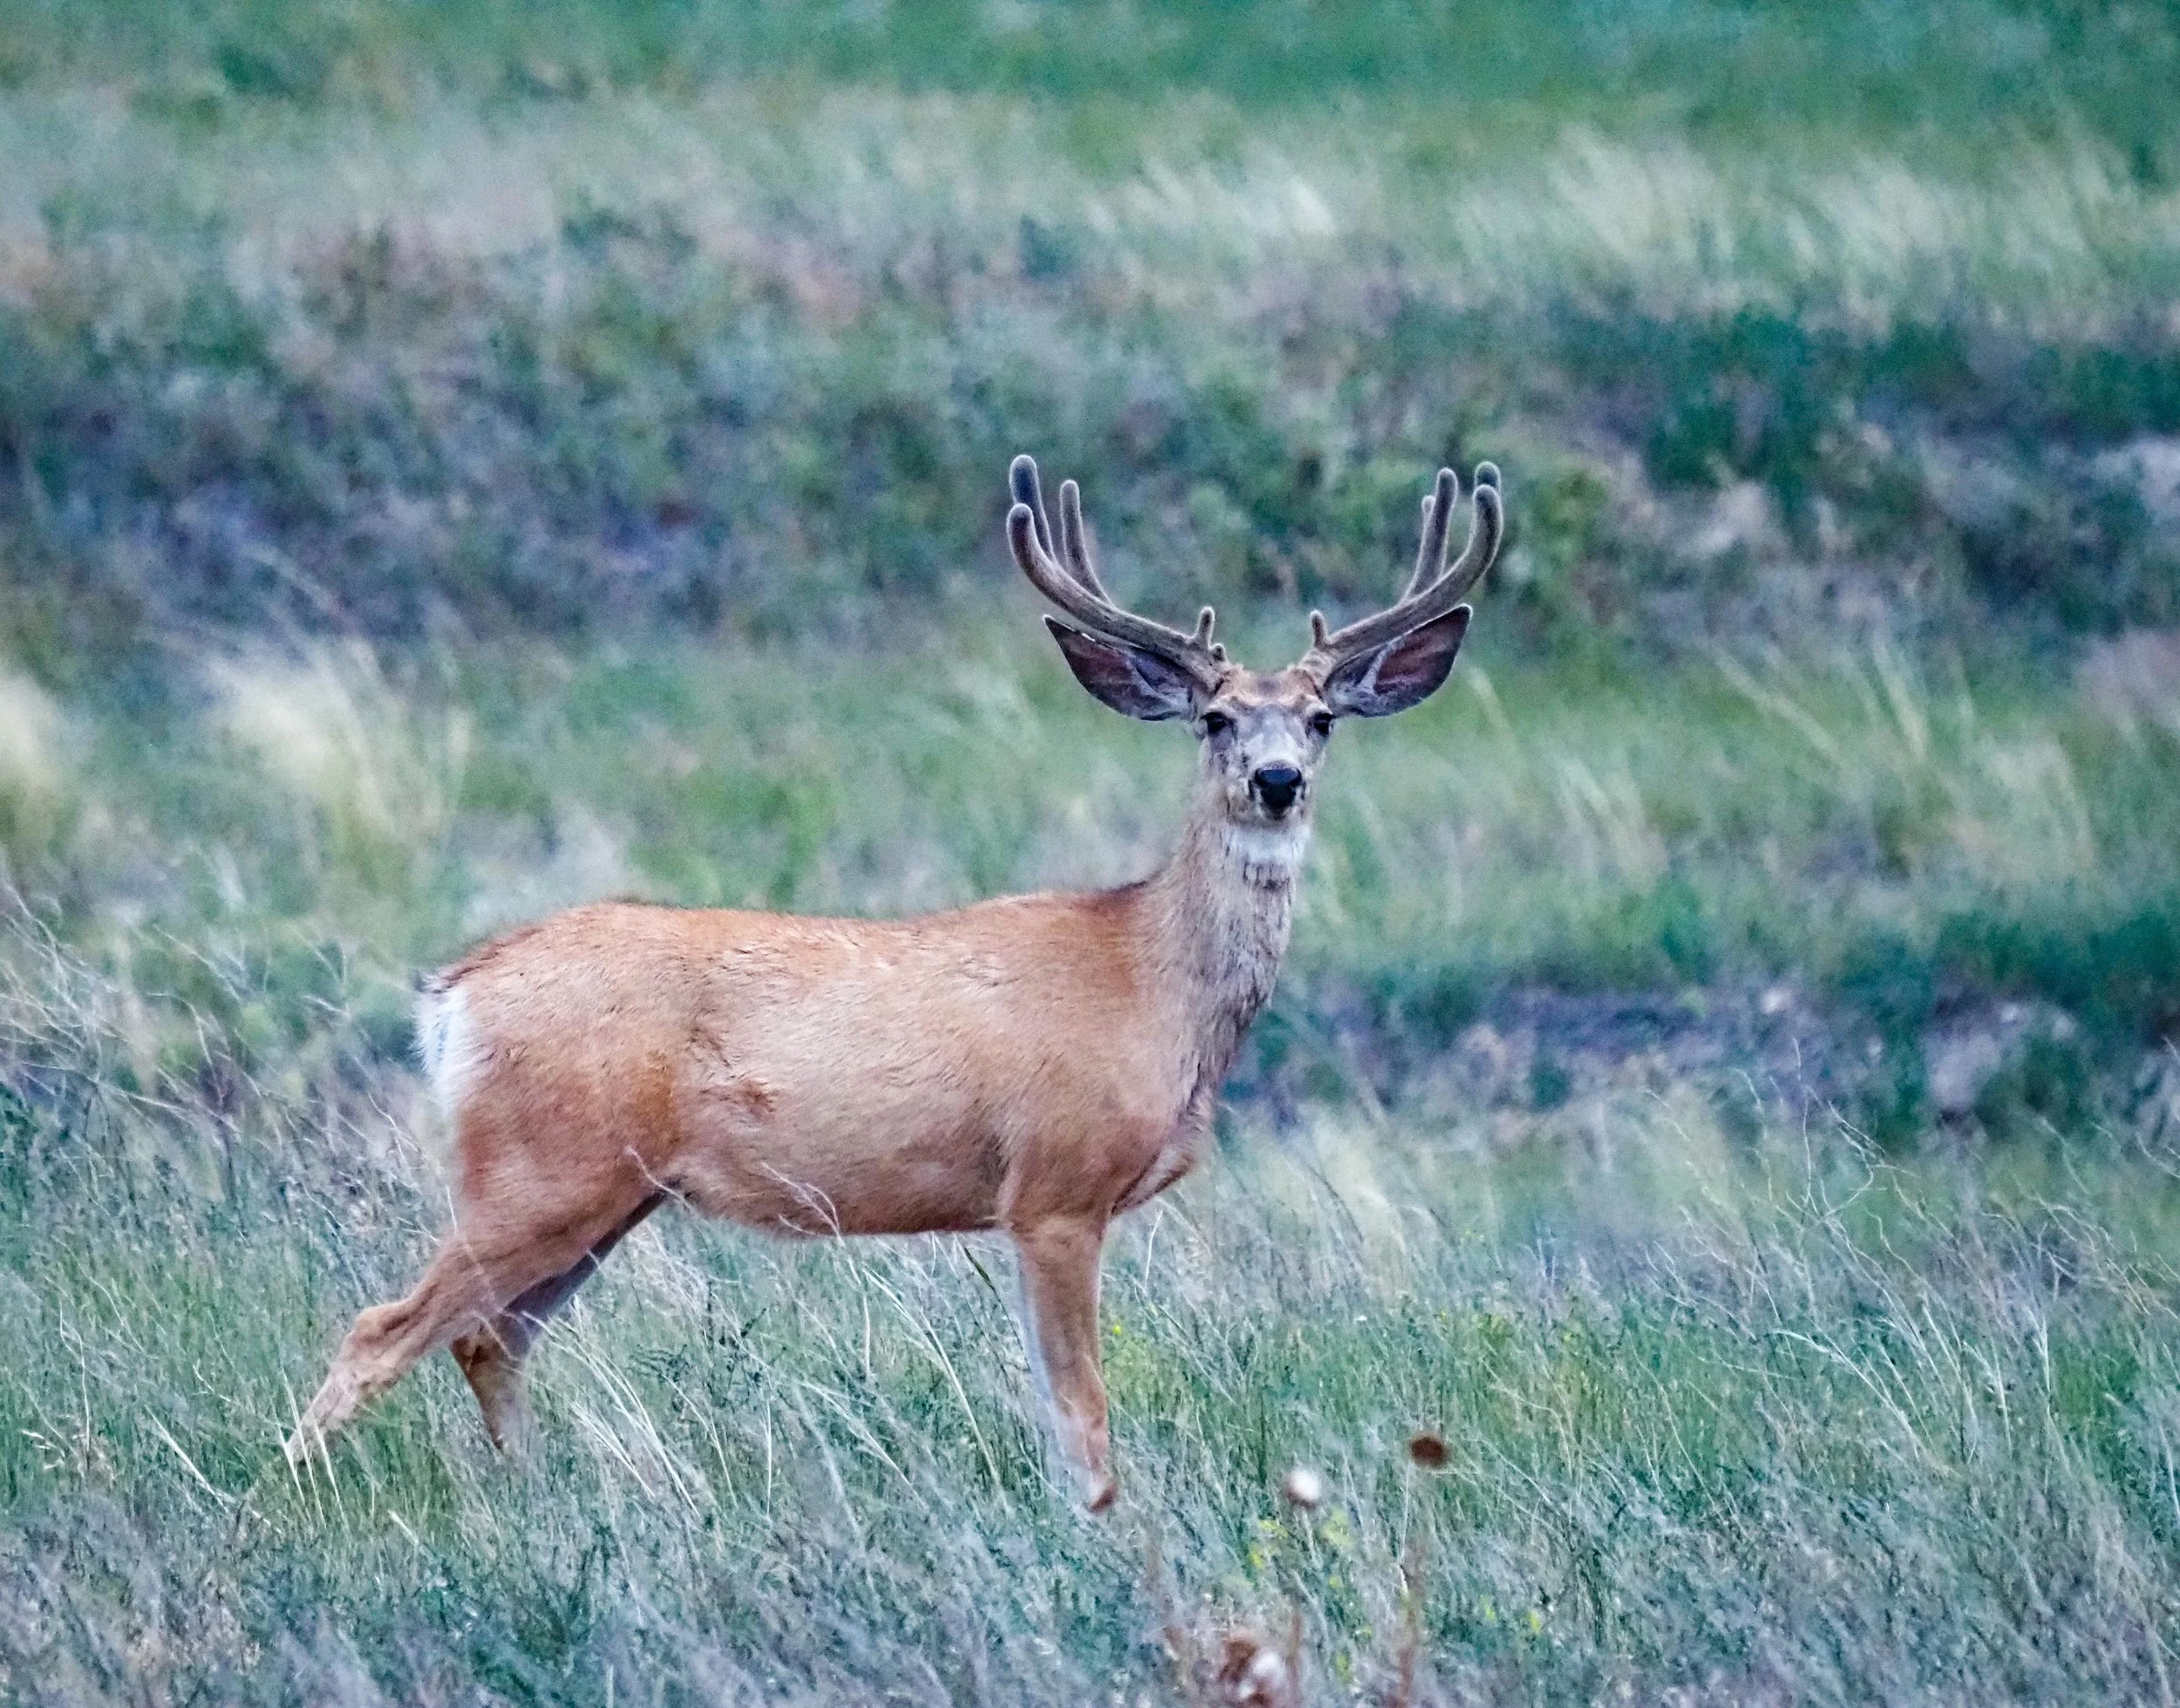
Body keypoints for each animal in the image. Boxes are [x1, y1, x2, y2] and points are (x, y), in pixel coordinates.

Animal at [285, 453, 1503, 1510]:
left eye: (1322, 717)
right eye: (1212, 718)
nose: (1277, 780)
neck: (1150, 983)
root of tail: (452, 995)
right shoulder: (1053, 1189)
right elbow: (1082, 1411)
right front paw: (1102, 1529)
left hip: (604, 1192)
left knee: (490, 1338)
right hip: (538, 1170)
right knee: (383, 1329)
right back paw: (292, 1499)